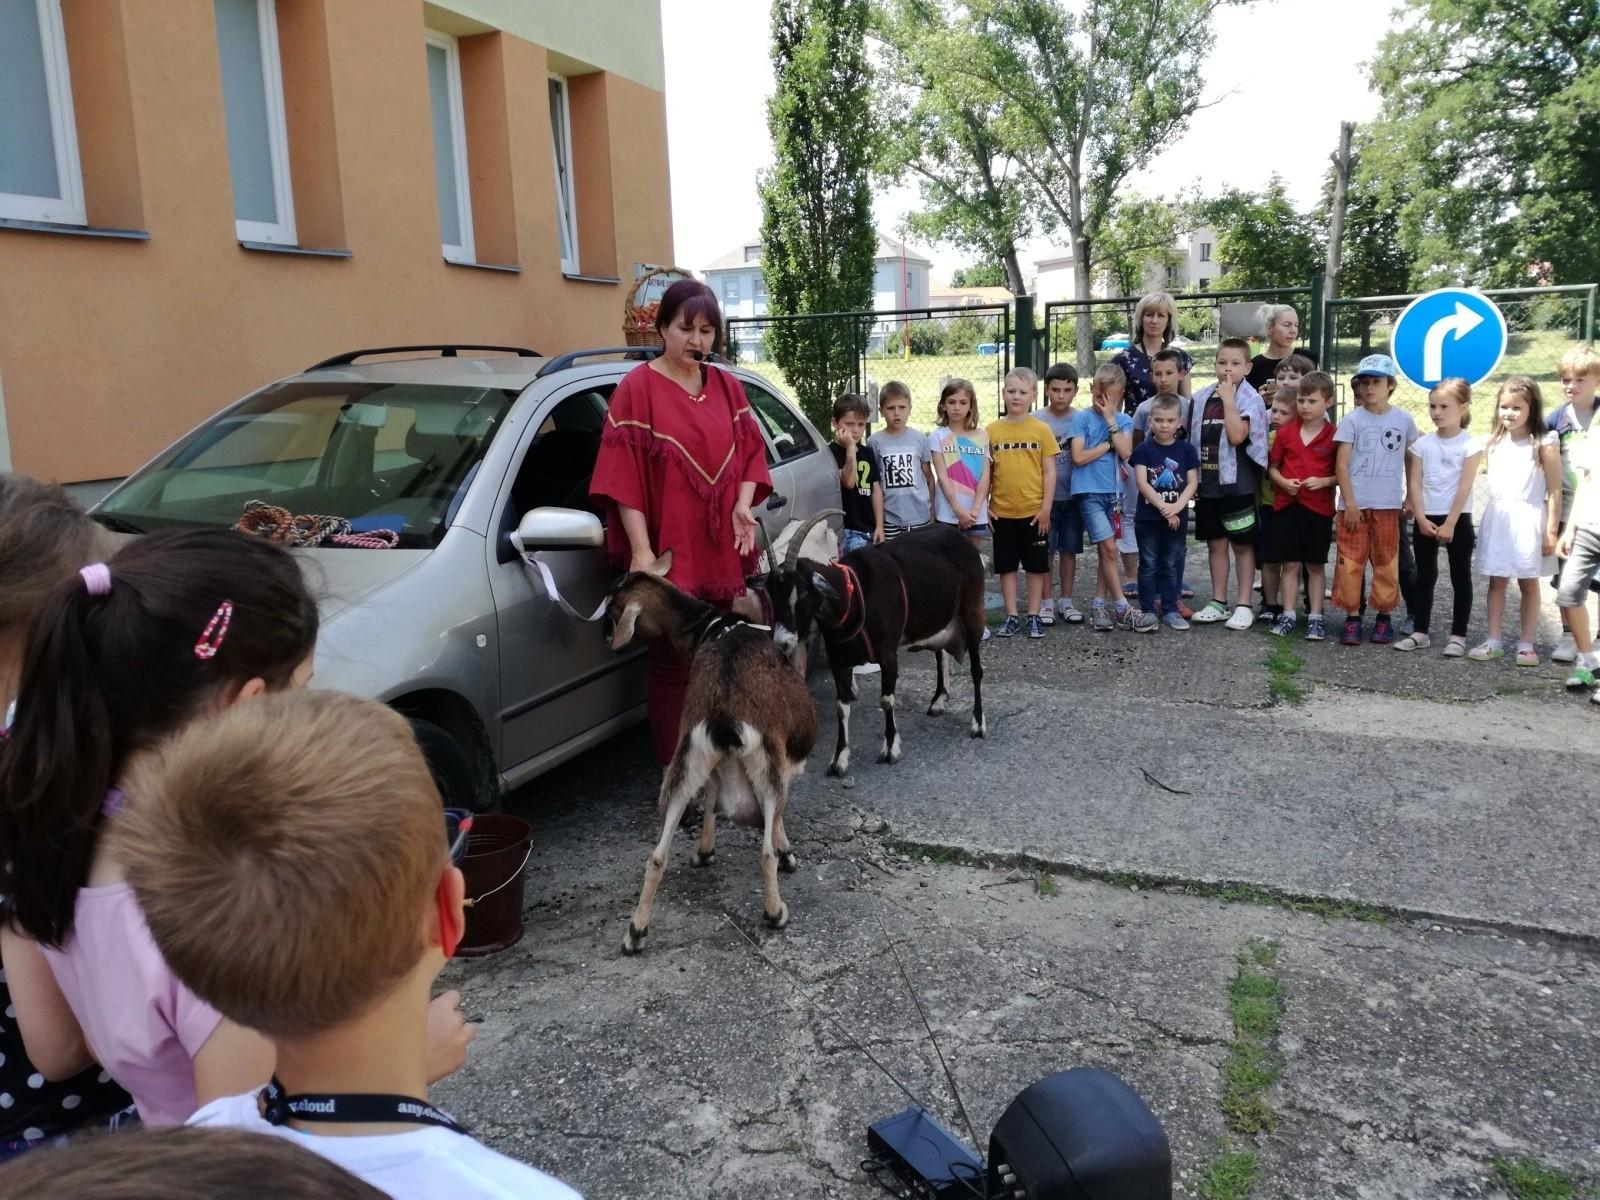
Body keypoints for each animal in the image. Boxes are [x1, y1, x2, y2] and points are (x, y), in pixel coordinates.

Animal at [604, 553, 819, 960]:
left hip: (685, 758)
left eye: (612, 608)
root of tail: (723, 716)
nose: (607, 637)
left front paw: (704, 851)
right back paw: (775, 911)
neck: (712, 625)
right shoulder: (781, 755)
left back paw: (635, 932)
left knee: (658, 853)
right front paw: (788, 851)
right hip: (765, 761)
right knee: (765, 848)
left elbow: (711, 795)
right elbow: (776, 819)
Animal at [764, 518, 985, 780]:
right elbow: (841, 708)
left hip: (972, 613)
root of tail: (964, 541)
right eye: (772, 595)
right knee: (941, 654)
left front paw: (890, 749)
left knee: (976, 670)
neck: (854, 598)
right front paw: (838, 760)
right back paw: (939, 700)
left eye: (803, 592)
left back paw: (978, 724)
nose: (783, 641)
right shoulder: (839, 661)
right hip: (938, 617)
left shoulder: (888, 655)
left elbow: (886, 700)